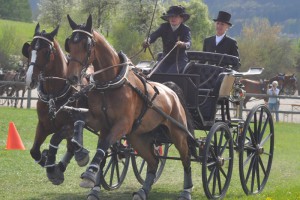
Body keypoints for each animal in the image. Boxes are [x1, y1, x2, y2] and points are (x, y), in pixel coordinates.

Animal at [21, 23, 89, 184]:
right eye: (30, 49)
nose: (29, 79)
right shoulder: (43, 125)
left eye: (46, 51)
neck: (54, 95)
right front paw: (46, 160)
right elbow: (34, 151)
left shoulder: (68, 126)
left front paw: (52, 169)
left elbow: (55, 139)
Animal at [65, 14, 197, 200]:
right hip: (138, 137)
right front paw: (80, 154)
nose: (72, 77)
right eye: (69, 43)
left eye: (87, 45)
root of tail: (172, 91)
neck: (110, 84)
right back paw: (142, 191)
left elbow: (104, 145)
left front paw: (90, 174)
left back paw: (186, 191)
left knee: (185, 158)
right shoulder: (101, 123)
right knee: (153, 161)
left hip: (177, 133)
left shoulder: (122, 124)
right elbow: (81, 121)